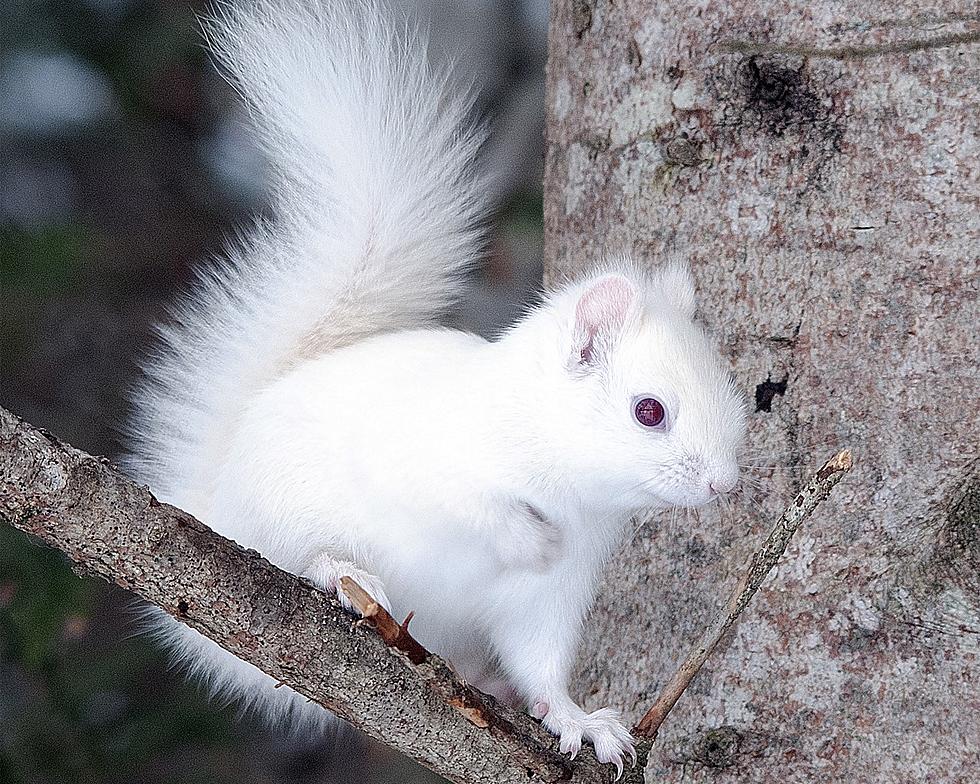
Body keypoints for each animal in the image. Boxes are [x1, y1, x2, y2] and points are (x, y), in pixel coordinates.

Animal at [126, 0, 748, 772]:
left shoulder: (551, 596)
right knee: (292, 553)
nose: (724, 485)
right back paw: (340, 570)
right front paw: (527, 537)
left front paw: (578, 720)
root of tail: (216, 499)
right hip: (279, 513)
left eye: (734, 392)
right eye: (649, 410)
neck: (567, 484)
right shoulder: (427, 460)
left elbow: (543, 664)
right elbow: (468, 504)